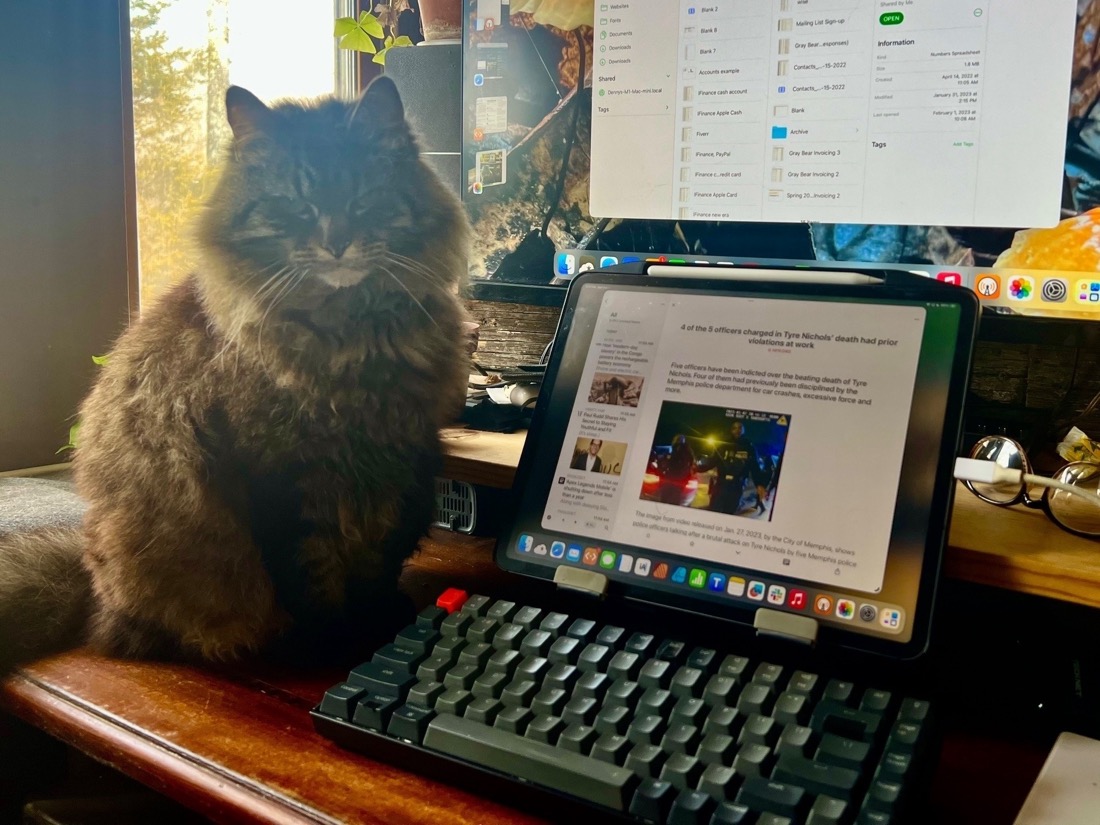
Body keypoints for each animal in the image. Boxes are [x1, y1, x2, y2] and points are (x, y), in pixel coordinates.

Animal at [0, 75, 468, 677]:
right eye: (296, 204)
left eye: (363, 196)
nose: (336, 243)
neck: (349, 338)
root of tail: (91, 593)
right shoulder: (285, 475)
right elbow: (311, 578)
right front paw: (336, 646)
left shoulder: (401, 461)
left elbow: (378, 561)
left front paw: (381, 620)